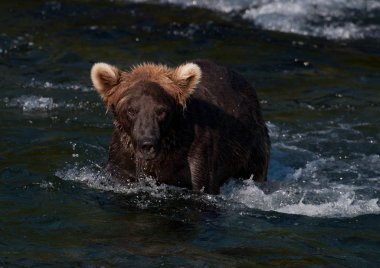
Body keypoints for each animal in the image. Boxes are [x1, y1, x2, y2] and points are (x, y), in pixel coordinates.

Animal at [91, 59, 270, 194]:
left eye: (161, 110)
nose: (147, 144)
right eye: (131, 110)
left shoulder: (197, 154)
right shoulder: (123, 159)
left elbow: (203, 184)